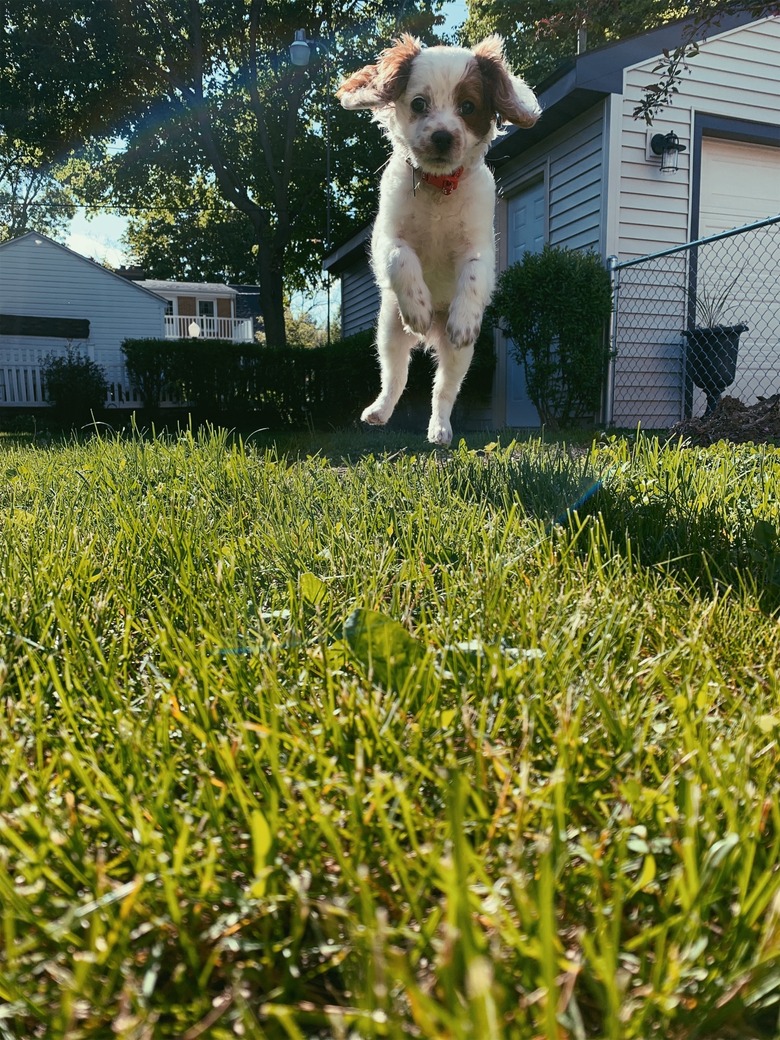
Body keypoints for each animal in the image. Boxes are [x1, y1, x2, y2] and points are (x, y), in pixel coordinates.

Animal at [339, 33, 540, 443]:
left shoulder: (481, 247)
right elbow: (402, 258)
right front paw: (418, 304)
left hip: (459, 357)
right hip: (389, 331)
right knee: (395, 377)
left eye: (468, 107)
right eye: (419, 104)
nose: (443, 136)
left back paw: (440, 429)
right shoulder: (386, 238)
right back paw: (379, 411)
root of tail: (431, 335)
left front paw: (464, 318)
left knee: (443, 390)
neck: (438, 185)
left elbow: (474, 275)